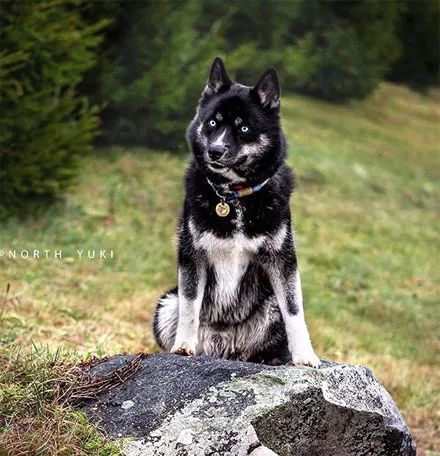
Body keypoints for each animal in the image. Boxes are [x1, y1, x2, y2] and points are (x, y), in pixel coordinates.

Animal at [154, 57, 320, 366]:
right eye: (212, 122)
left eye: (243, 129)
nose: (215, 151)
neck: (232, 197)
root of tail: (226, 348)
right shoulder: (192, 255)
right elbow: (190, 306)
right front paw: (184, 345)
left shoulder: (283, 261)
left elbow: (295, 311)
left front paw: (305, 355)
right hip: (166, 303)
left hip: (270, 304)